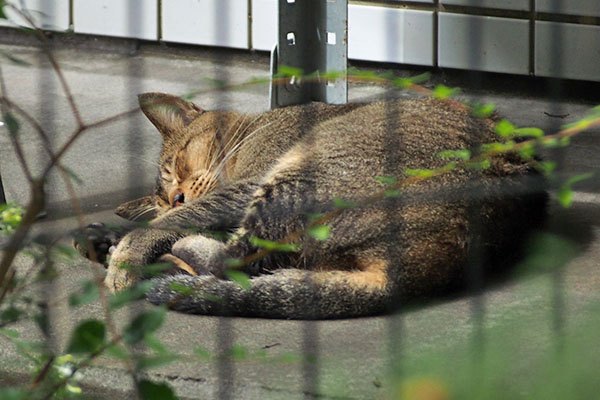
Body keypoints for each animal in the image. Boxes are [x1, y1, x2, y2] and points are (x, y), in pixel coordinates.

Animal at [84, 93, 548, 318]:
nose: (176, 196)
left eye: (176, 168)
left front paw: (123, 254)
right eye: (163, 196)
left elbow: (178, 221)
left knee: (231, 258)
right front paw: (107, 240)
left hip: (302, 171)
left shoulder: (246, 182)